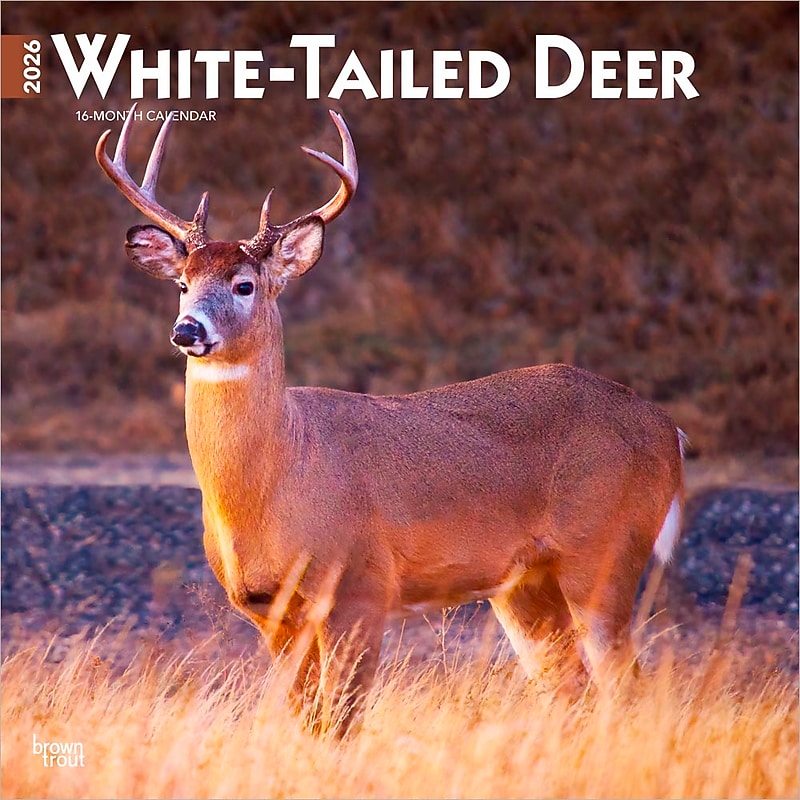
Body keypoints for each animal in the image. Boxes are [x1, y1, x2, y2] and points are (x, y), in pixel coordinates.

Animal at [96, 104, 686, 733]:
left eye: (244, 284)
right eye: (183, 284)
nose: (188, 330)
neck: (281, 477)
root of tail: (668, 430)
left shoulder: (360, 586)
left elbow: (341, 722)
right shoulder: (269, 611)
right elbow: (305, 719)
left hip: (603, 553)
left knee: (627, 687)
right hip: (524, 585)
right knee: (571, 689)